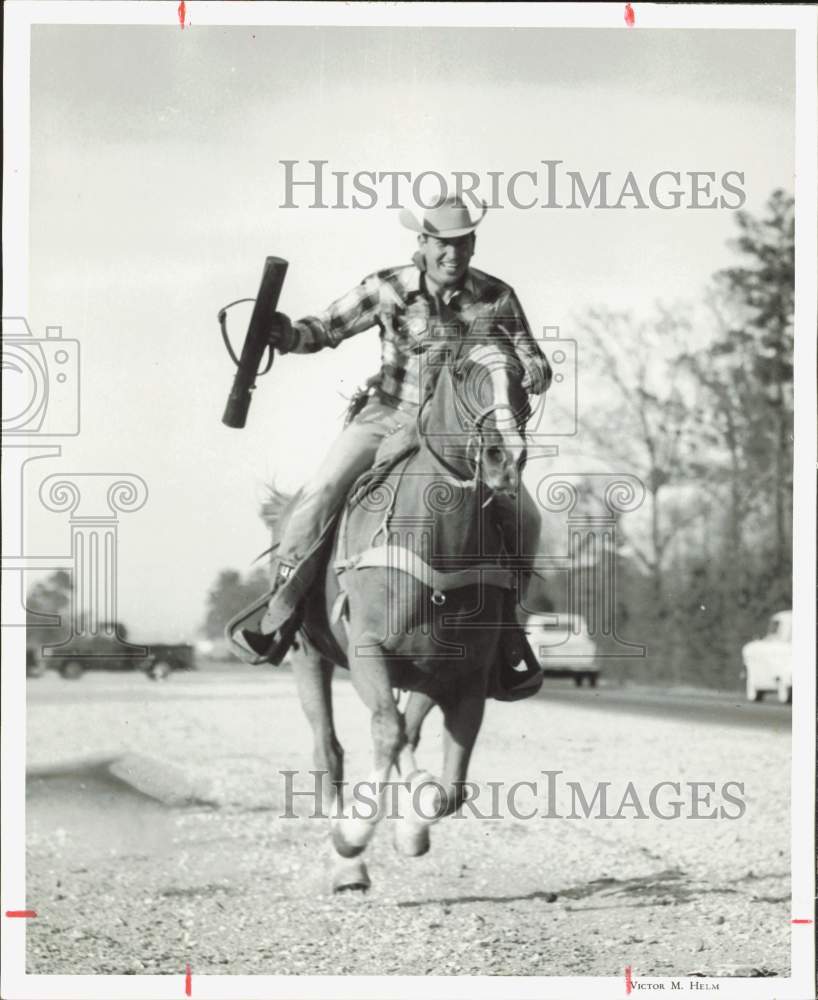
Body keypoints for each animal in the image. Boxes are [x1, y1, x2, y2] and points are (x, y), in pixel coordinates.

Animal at [262, 336, 528, 892]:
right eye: (461, 369)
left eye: (523, 373)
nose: (505, 457)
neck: (436, 546)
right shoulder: (368, 652)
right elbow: (386, 731)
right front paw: (353, 837)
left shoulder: (465, 676)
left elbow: (450, 784)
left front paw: (413, 825)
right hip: (307, 655)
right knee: (331, 749)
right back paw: (347, 864)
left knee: (407, 730)